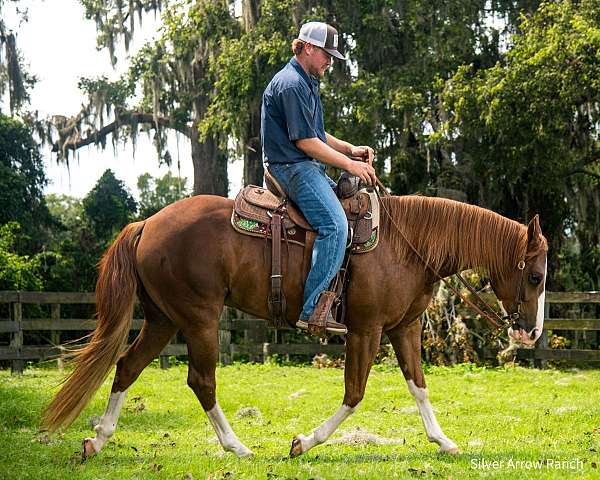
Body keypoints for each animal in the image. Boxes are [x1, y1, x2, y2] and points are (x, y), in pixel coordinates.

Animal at [43, 194, 548, 458]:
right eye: (536, 276)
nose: (531, 334)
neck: (407, 245)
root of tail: (147, 223)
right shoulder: (365, 331)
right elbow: (354, 393)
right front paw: (304, 441)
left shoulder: (404, 330)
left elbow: (419, 387)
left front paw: (443, 440)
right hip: (199, 319)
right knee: (201, 380)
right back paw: (237, 446)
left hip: (164, 319)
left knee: (127, 367)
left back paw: (98, 440)